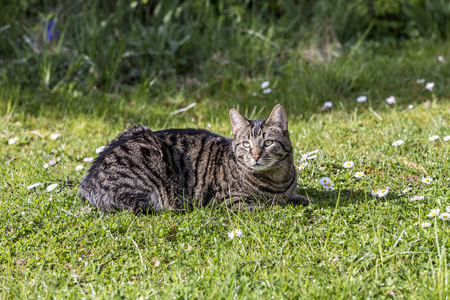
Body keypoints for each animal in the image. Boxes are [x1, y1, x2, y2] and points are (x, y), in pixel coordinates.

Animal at [77, 104, 312, 212]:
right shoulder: (230, 201)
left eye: (268, 143)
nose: (255, 156)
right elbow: (268, 205)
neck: (277, 179)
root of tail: (86, 181)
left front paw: (301, 199)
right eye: (246, 144)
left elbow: (298, 197)